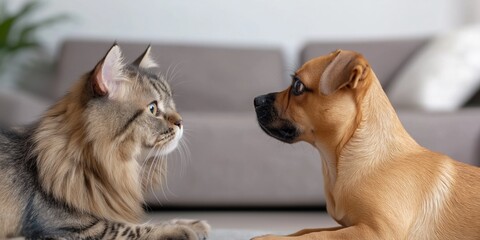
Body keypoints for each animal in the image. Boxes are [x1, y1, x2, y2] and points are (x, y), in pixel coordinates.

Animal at [0, 44, 210, 239]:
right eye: (152, 108)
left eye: (171, 103)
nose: (181, 122)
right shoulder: (67, 226)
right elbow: (128, 228)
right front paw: (179, 229)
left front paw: (193, 223)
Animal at [251, 49, 480, 239]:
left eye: (297, 86)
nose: (256, 100)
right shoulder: (351, 225)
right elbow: (306, 230)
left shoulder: (377, 231)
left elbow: (317, 236)